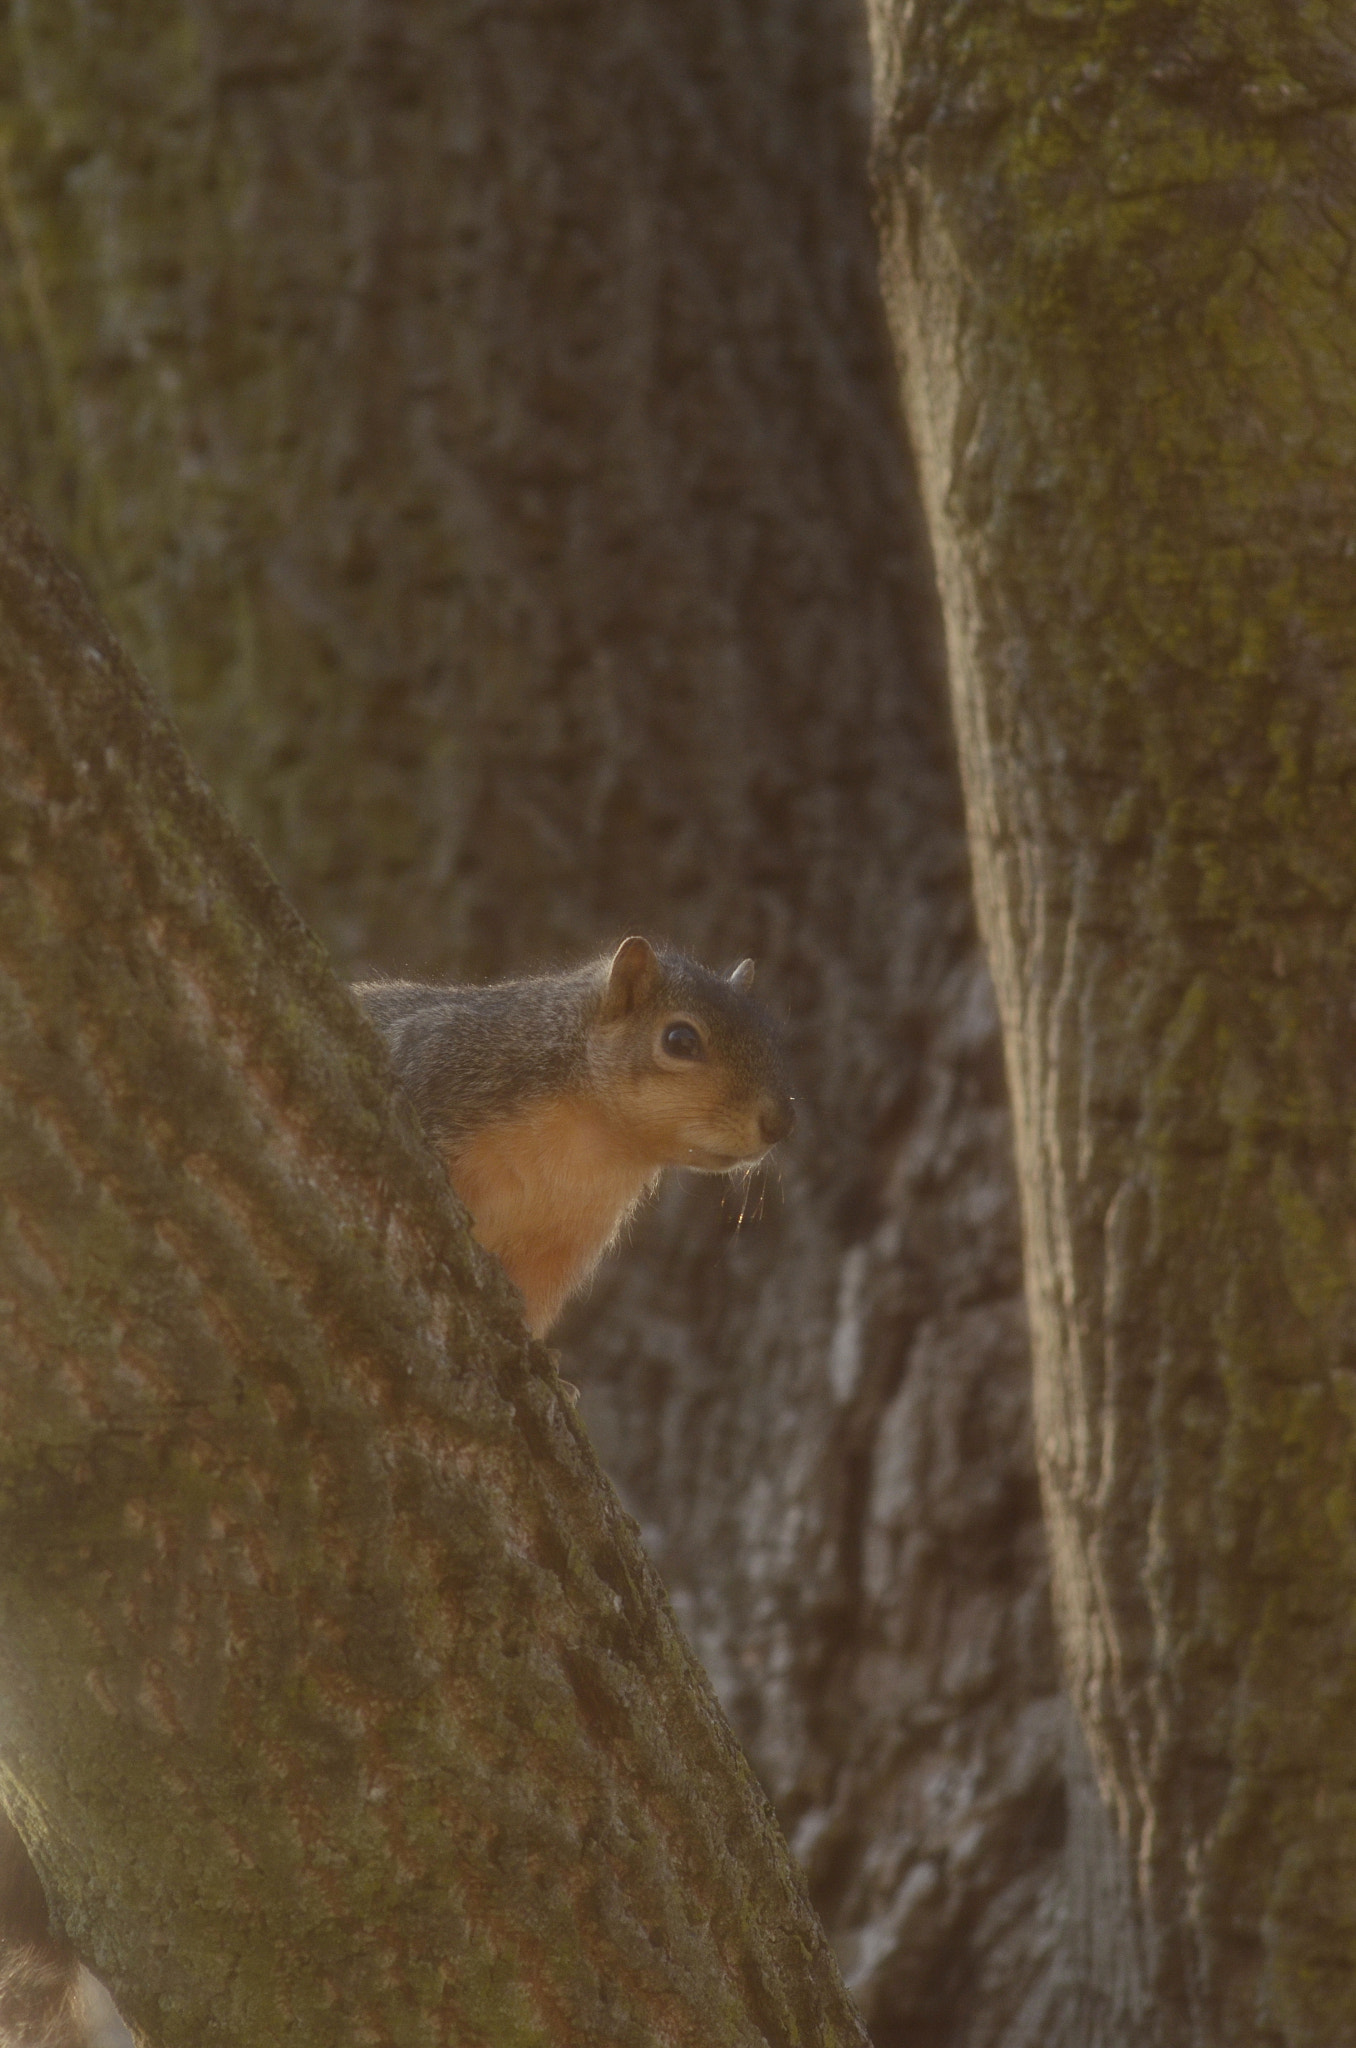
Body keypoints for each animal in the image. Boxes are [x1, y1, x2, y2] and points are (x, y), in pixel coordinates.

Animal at [356, 937, 798, 1335]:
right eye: (680, 1040)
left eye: (771, 1034)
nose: (781, 1123)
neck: (596, 1143)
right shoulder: (440, 1059)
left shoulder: (557, 1251)